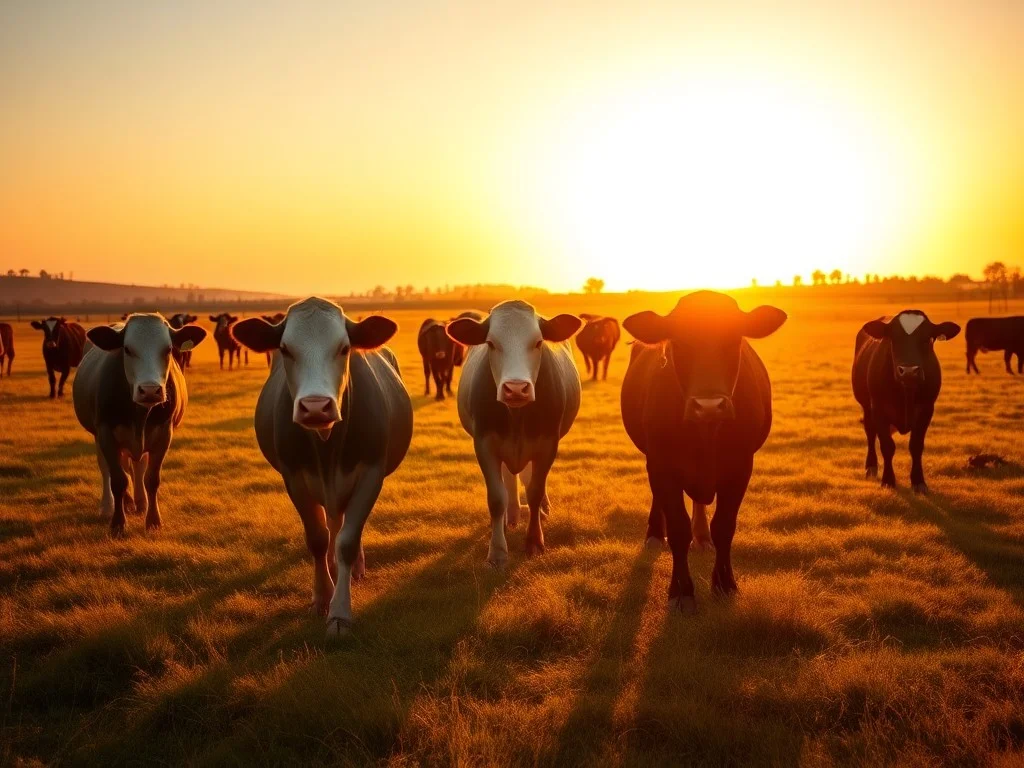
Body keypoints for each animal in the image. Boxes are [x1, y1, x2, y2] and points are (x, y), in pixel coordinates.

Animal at [72, 314, 207, 536]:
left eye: (168, 349)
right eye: (127, 349)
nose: (150, 390)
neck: (140, 414)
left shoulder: (163, 434)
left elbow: (151, 478)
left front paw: (153, 520)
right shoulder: (105, 432)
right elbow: (118, 479)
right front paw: (118, 523)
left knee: (138, 466)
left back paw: (140, 502)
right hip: (99, 436)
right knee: (107, 469)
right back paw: (109, 506)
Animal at [230, 298, 412, 635]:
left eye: (344, 348)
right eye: (285, 348)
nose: (315, 406)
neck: (327, 445)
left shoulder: (371, 473)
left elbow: (348, 541)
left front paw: (340, 611)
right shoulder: (293, 477)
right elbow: (317, 538)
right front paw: (322, 596)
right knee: (332, 524)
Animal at [447, 301, 582, 567]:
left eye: (538, 342)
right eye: (491, 343)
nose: (516, 388)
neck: (516, 416)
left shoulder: (548, 444)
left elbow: (535, 491)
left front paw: (534, 541)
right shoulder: (484, 445)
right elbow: (496, 497)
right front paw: (498, 551)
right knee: (509, 479)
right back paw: (510, 516)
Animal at [620, 291, 787, 614]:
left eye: (733, 340)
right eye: (680, 343)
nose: (709, 406)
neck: (705, 435)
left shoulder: (740, 468)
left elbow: (724, 527)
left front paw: (724, 584)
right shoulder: (662, 466)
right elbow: (678, 528)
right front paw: (681, 591)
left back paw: (702, 537)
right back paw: (655, 534)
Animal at [853, 310, 960, 493]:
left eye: (926, 339)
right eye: (893, 338)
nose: (909, 371)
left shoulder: (926, 409)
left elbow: (916, 446)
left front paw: (918, 481)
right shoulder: (878, 409)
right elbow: (887, 446)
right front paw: (888, 480)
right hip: (866, 407)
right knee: (870, 432)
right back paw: (871, 466)